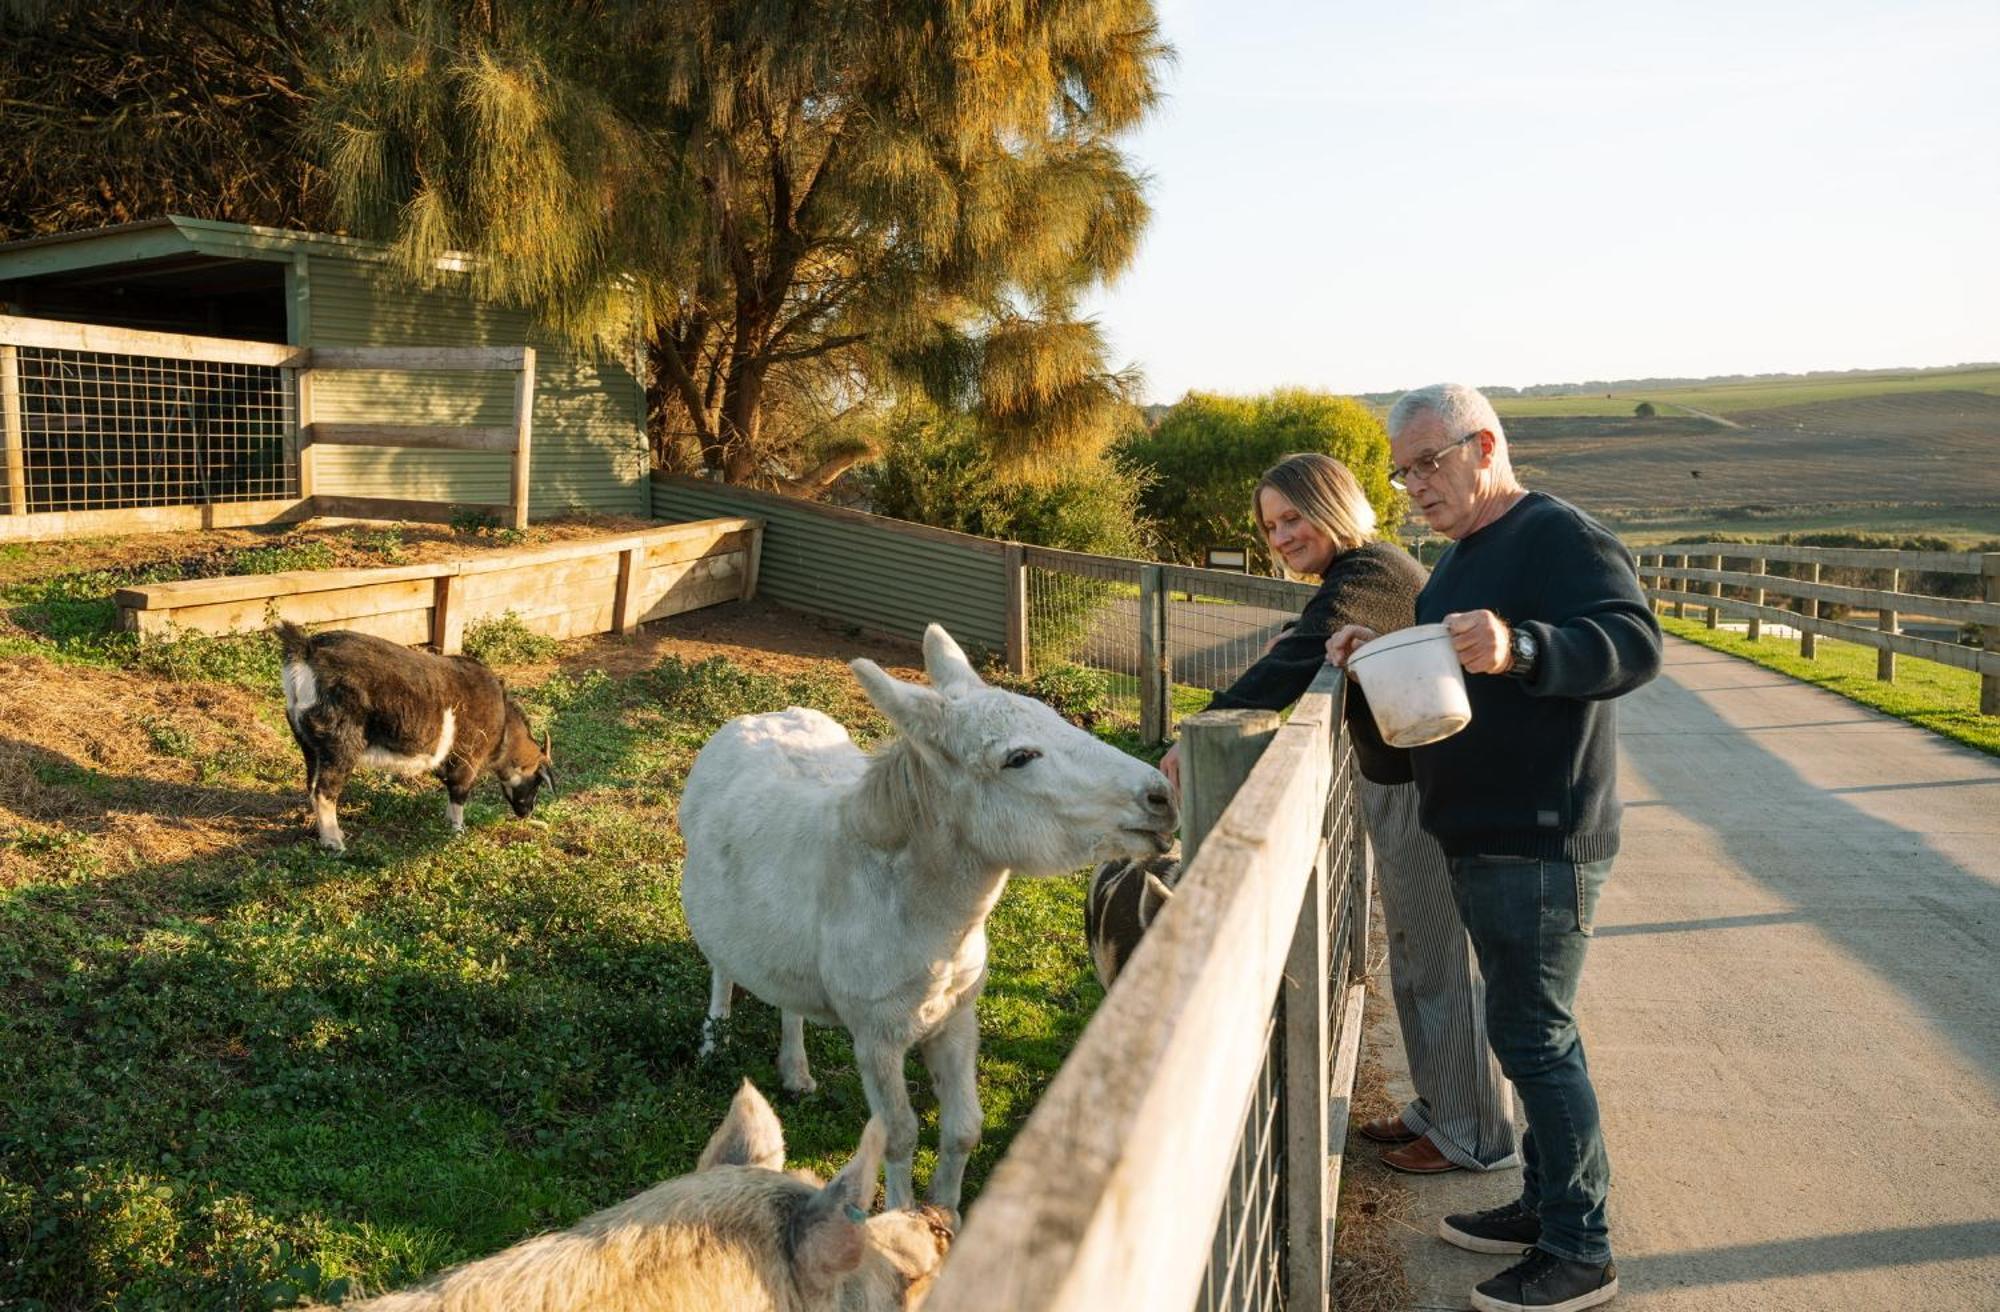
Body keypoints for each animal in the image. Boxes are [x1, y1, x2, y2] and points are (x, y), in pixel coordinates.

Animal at [278, 624, 552, 856]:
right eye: (538, 781)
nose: (527, 812)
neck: (504, 724)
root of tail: (307, 649)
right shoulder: (468, 761)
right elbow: (459, 794)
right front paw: (457, 830)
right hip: (339, 746)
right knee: (325, 792)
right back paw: (334, 842)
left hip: (309, 745)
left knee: (312, 786)